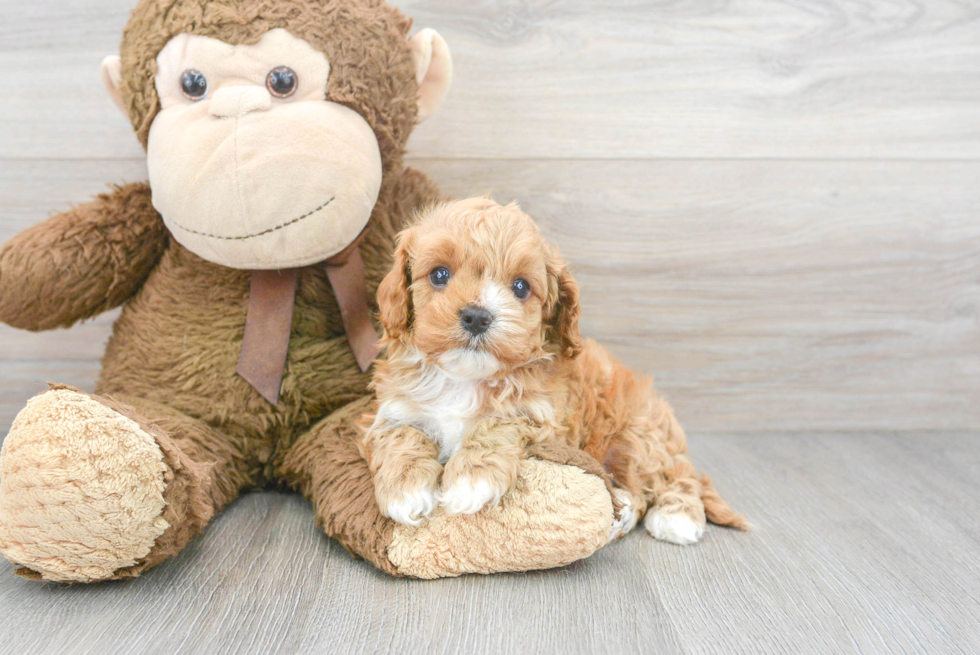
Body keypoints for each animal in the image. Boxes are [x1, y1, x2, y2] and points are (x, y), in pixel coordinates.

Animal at [356, 197, 748, 544]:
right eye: (439, 274)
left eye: (520, 287)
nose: (477, 316)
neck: (465, 378)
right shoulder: (393, 409)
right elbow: (401, 435)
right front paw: (405, 490)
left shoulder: (539, 414)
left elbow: (495, 424)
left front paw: (472, 479)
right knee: (639, 493)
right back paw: (621, 513)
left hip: (639, 435)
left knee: (674, 477)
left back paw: (676, 516)